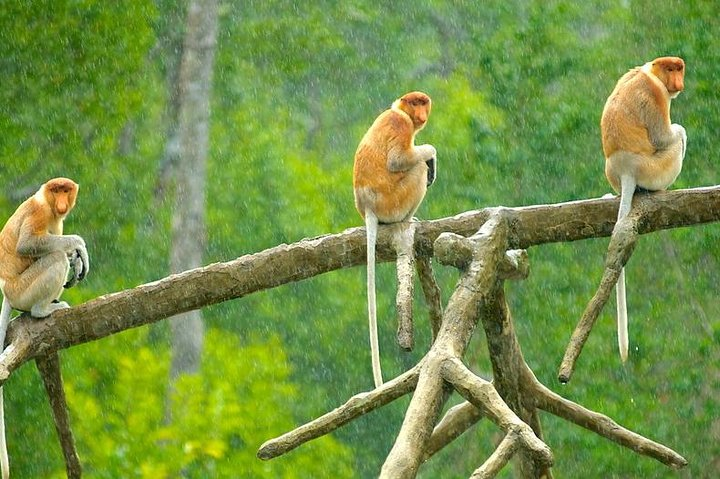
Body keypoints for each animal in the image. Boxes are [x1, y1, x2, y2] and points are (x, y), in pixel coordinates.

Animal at [0, 177, 89, 479]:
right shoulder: (38, 212)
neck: (48, 205)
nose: (61, 202)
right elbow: (28, 245)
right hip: (24, 289)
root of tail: (7, 291)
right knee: (54, 257)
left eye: (66, 190)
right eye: (55, 190)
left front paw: (77, 259)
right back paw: (43, 309)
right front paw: (79, 246)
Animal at [353, 91, 437, 387]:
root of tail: (369, 208)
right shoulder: (401, 126)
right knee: (416, 169)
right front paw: (431, 154)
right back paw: (410, 218)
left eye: (424, 103)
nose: (421, 113)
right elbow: (398, 160)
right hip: (395, 201)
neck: (398, 110)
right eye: (415, 103)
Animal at [600, 56, 686, 362]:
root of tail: (626, 169)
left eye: (679, 68)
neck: (651, 73)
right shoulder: (656, 95)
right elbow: (664, 137)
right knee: (678, 137)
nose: (678, 82)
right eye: (671, 69)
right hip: (656, 169)